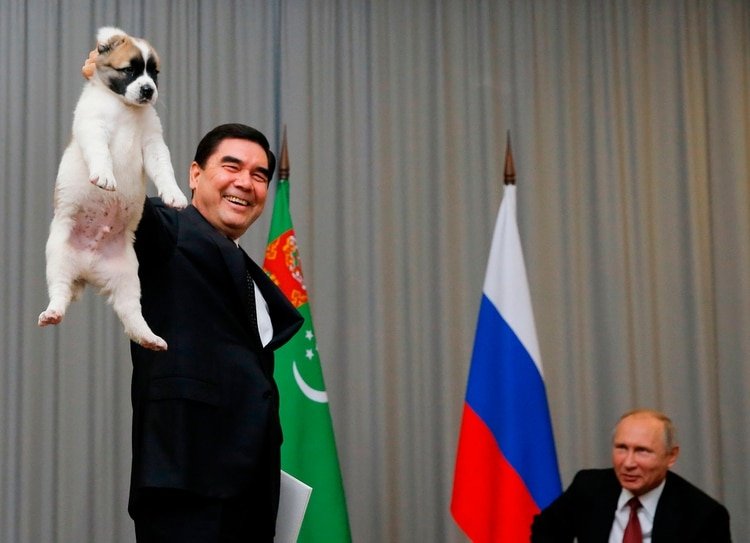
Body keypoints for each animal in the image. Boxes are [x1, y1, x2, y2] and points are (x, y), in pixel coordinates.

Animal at [37, 26, 187, 352]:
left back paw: (149, 337)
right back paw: (53, 312)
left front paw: (174, 195)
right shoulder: (94, 128)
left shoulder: (153, 143)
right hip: (58, 256)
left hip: (128, 277)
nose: (148, 90)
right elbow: (100, 153)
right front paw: (105, 176)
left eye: (153, 73)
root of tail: (88, 270)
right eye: (130, 70)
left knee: (131, 313)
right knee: (60, 290)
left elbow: (165, 169)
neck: (125, 108)